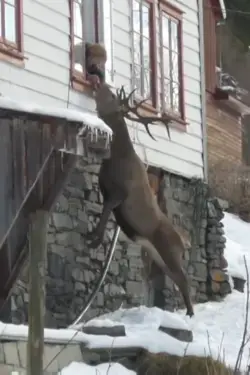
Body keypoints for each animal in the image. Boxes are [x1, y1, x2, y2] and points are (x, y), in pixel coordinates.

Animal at [87, 84, 194, 318]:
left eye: (112, 95)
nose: (101, 83)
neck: (116, 157)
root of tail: (184, 242)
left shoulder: (121, 192)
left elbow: (107, 208)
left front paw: (95, 239)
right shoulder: (105, 189)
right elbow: (104, 208)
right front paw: (94, 237)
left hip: (169, 251)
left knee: (184, 278)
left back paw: (190, 314)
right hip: (159, 256)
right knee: (176, 279)